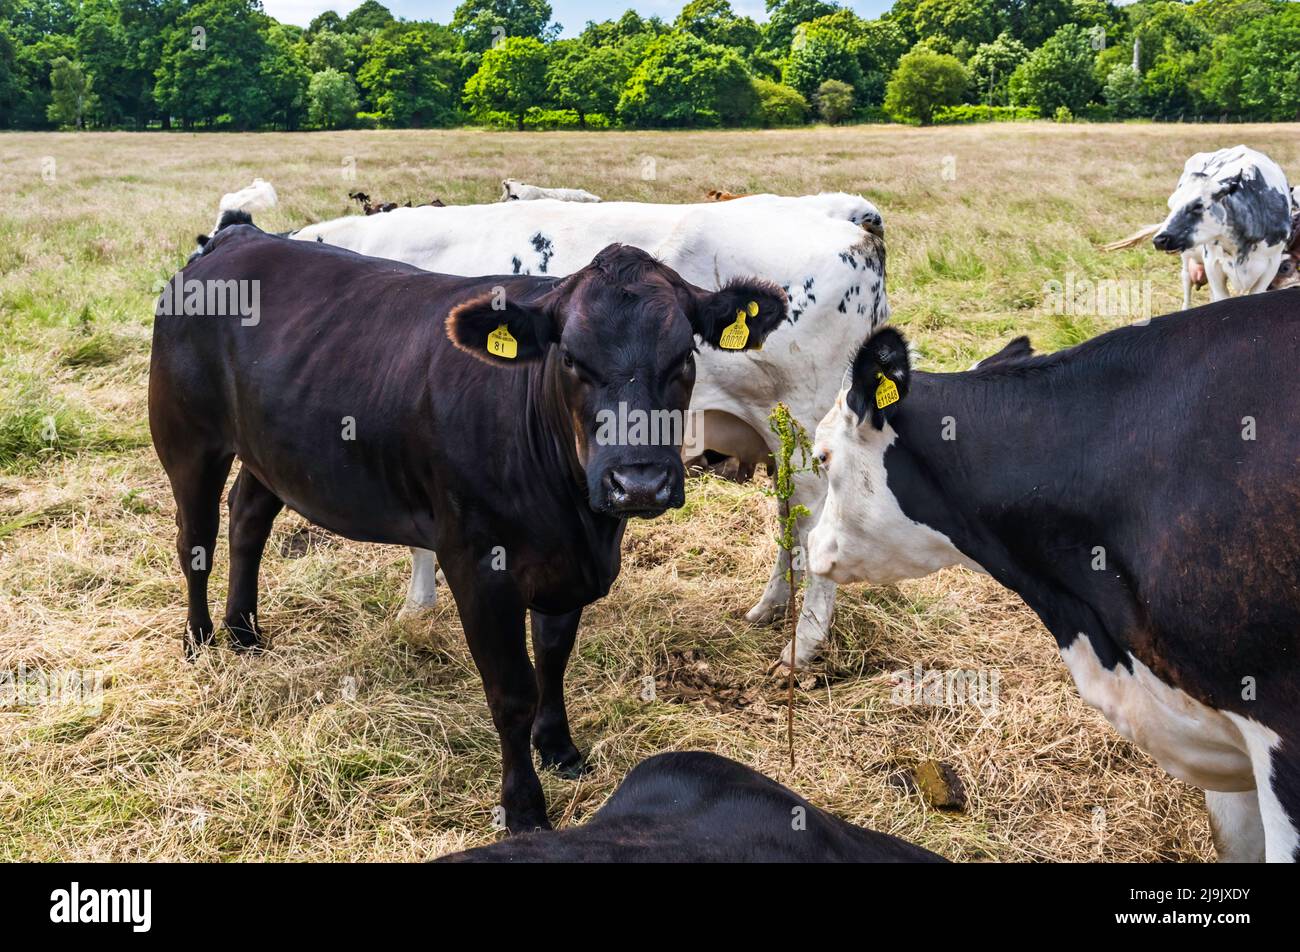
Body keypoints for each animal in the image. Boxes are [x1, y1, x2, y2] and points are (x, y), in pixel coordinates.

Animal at [148, 219, 785, 827]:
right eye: (571, 359)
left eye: (684, 358)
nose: (639, 481)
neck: (577, 519)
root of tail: (239, 237)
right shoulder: (479, 566)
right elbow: (511, 691)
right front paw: (523, 807)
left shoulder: (564, 568)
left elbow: (553, 657)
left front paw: (559, 748)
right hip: (186, 439)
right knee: (196, 540)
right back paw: (200, 640)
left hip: (270, 451)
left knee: (247, 519)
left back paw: (244, 633)